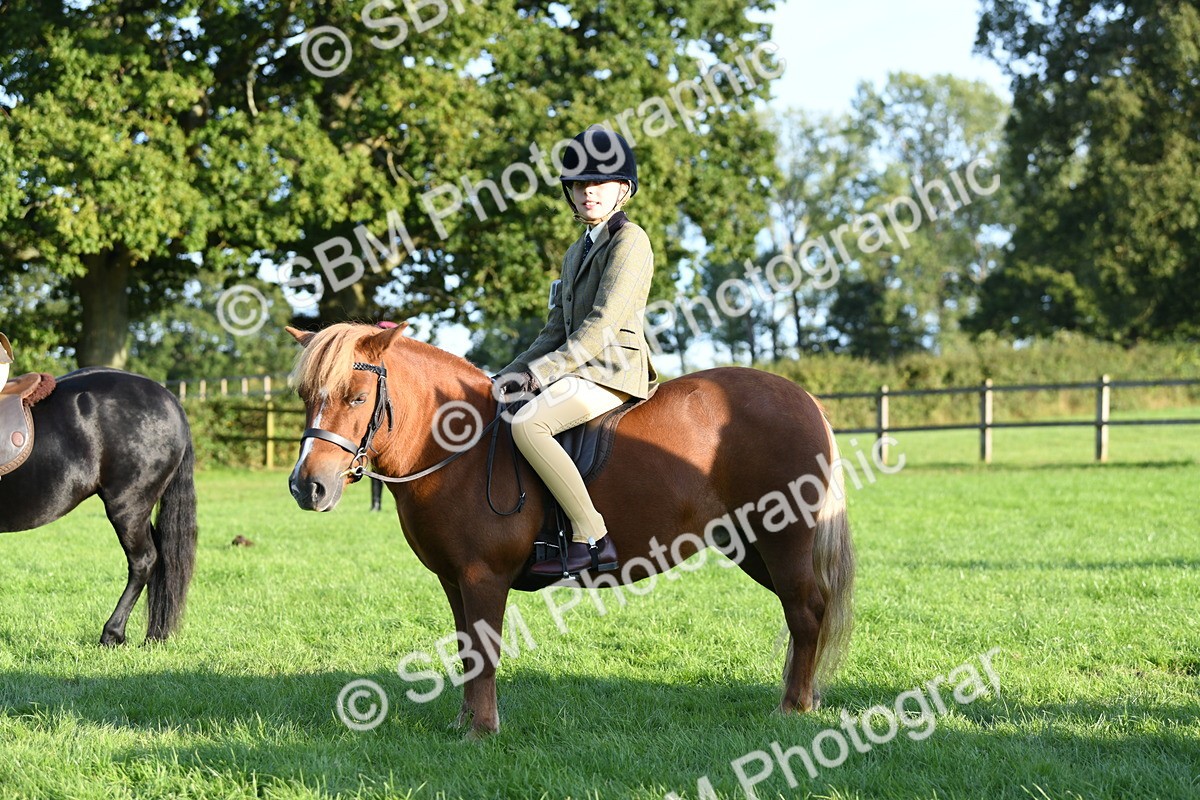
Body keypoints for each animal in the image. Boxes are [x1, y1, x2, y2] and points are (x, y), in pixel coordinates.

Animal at [286, 322, 854, 737]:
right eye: (307, 396)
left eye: (356, 398)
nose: (306, 487)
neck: (457, 445)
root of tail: (802, 398)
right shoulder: (454, 579)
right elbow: (467, 648)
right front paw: (464, 721)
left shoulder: (483, 576)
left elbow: (485, 651)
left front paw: (482, 730)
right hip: (751, 545)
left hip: (783, 538)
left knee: (806, 613)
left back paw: (794, 708)